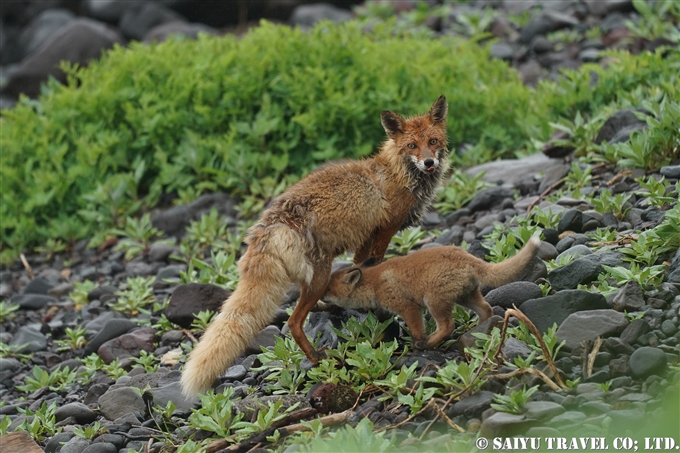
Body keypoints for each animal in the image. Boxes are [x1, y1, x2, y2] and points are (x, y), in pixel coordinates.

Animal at [181, 96, 452, 396]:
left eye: (433, 141)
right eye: (411, 146)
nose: (428, 162)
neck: (397, 174)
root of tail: (270, 225)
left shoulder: (364, 238)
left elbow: (360, 265)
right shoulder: (384, 231)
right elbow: (374, 265)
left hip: (310, 276)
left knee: (300, 307)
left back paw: (329, 311)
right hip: (320, 274)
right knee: (293, 321)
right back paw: (316, 357)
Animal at [322, 237, 540, 346]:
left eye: (327, 288)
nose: (319, 297)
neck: (373, 282)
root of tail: (466, 255)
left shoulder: (408, 307)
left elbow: (416, 329)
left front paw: (417, 342)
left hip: (433, 300)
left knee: (447, 325)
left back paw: (428, 343)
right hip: (465, 297)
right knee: (486, 308)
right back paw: (478, 330)